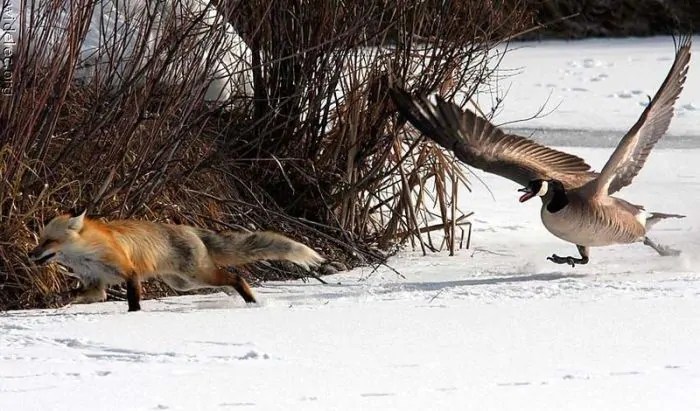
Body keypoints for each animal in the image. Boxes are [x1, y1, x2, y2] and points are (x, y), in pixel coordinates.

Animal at [28, 209, 325, 312]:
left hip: (196, 275)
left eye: (48, 241)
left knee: (236, 276)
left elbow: (133, 300)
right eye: (40, 240)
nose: (30, 254)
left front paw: (133, 316)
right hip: (184, 283)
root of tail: (191, 228)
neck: (87, 255)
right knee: (229, 281)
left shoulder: (129, 272)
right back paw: (244, 298)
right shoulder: (95, 285)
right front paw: (54, 301)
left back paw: (251, 302)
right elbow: (73, 294)